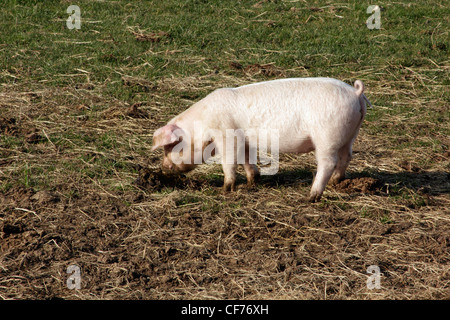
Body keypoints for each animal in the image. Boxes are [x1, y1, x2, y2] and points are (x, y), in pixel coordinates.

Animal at [151, 77, 370, 201]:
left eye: (172, 146)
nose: (163, 167)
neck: (203, 123)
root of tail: (355, 92)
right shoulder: (246, 141)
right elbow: (247, 160)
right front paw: (252, 182)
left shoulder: (226, 135)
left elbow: (229, 162)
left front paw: (225, 189)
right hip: (350, 134)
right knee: (346, 157)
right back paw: (335, 183)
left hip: (327, 136)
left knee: (328, 162)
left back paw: (311, 197)